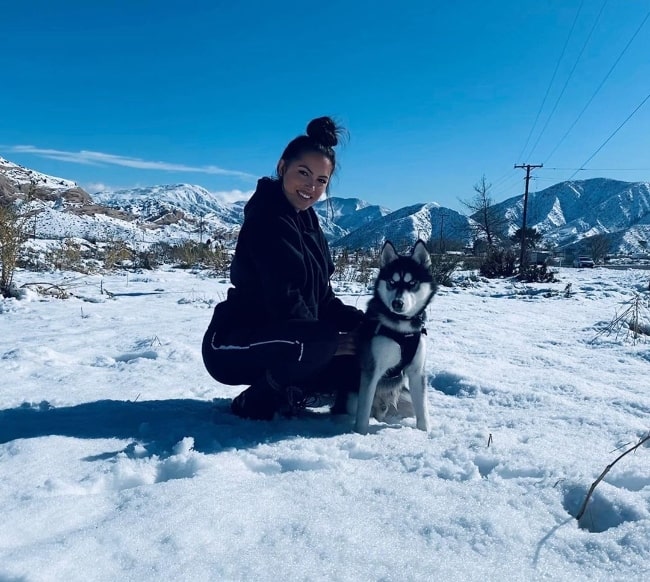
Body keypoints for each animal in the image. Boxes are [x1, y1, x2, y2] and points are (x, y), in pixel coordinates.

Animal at [352, 240, 438, 436]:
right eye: (392, 282)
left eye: (412, 282)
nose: (397, 303)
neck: (402, 329)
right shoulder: (372, 370)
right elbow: (362, 413)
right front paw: (360, 435)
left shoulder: (417, 372)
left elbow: (422, 411)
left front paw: (425, 433)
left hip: (403, 397)